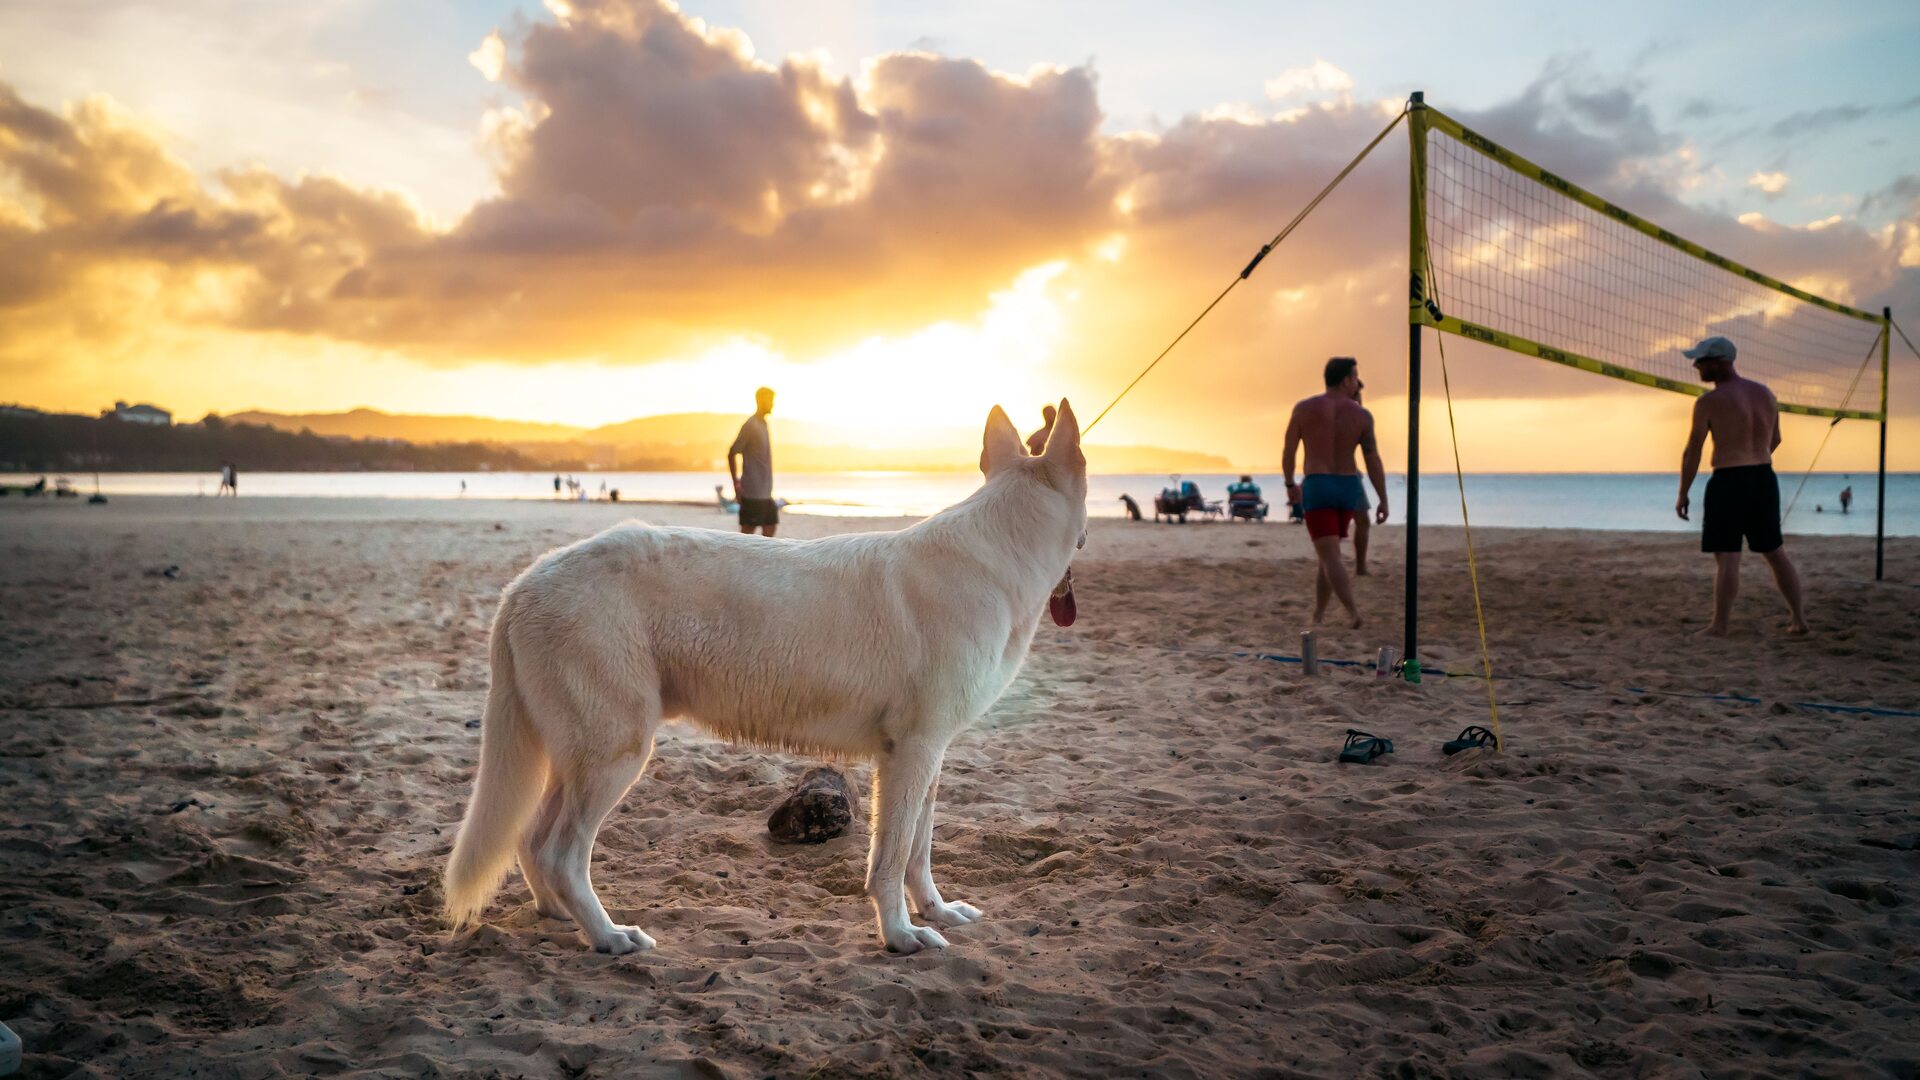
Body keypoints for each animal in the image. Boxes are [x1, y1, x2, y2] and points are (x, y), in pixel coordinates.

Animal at [439, 397, 1090, 949]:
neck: (996, 557)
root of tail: (524, 584)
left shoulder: (926, 758)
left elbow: (918, 854)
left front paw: (937, 913)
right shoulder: (911, 753)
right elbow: (890, 860)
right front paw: (901, 936)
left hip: (577, 757)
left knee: (530, 839)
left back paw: (558, 917)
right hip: (615, 756)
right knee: (561, 853)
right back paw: (607, 936)